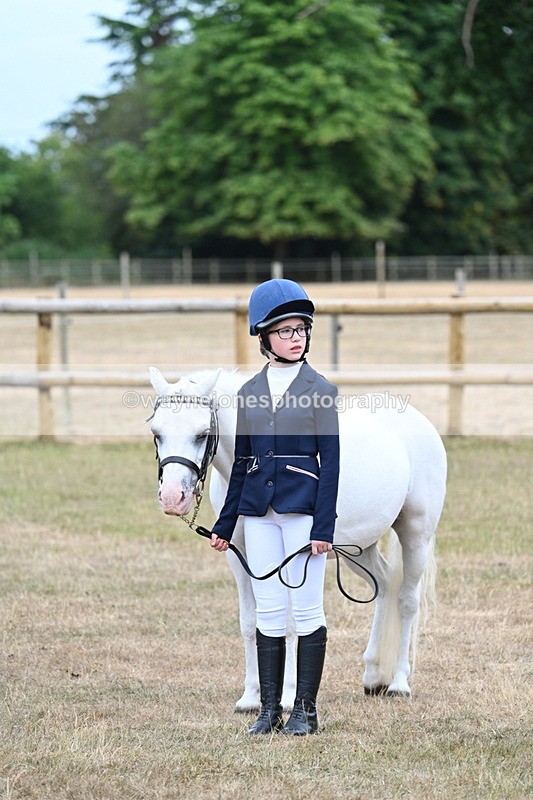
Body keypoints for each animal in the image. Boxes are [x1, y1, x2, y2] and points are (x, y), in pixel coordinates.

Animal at [148, 366, 447, 709]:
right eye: (156, 432)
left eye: (202, 434)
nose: (173, 498)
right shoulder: (241, 558)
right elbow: (250, 622)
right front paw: (251, 697)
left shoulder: (290, 558)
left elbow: (292, 624)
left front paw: (289, 696)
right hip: (360, 547)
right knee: (385, 586)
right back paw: (373, 676)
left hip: (416, 534)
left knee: (407, 601)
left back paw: (399, 683)